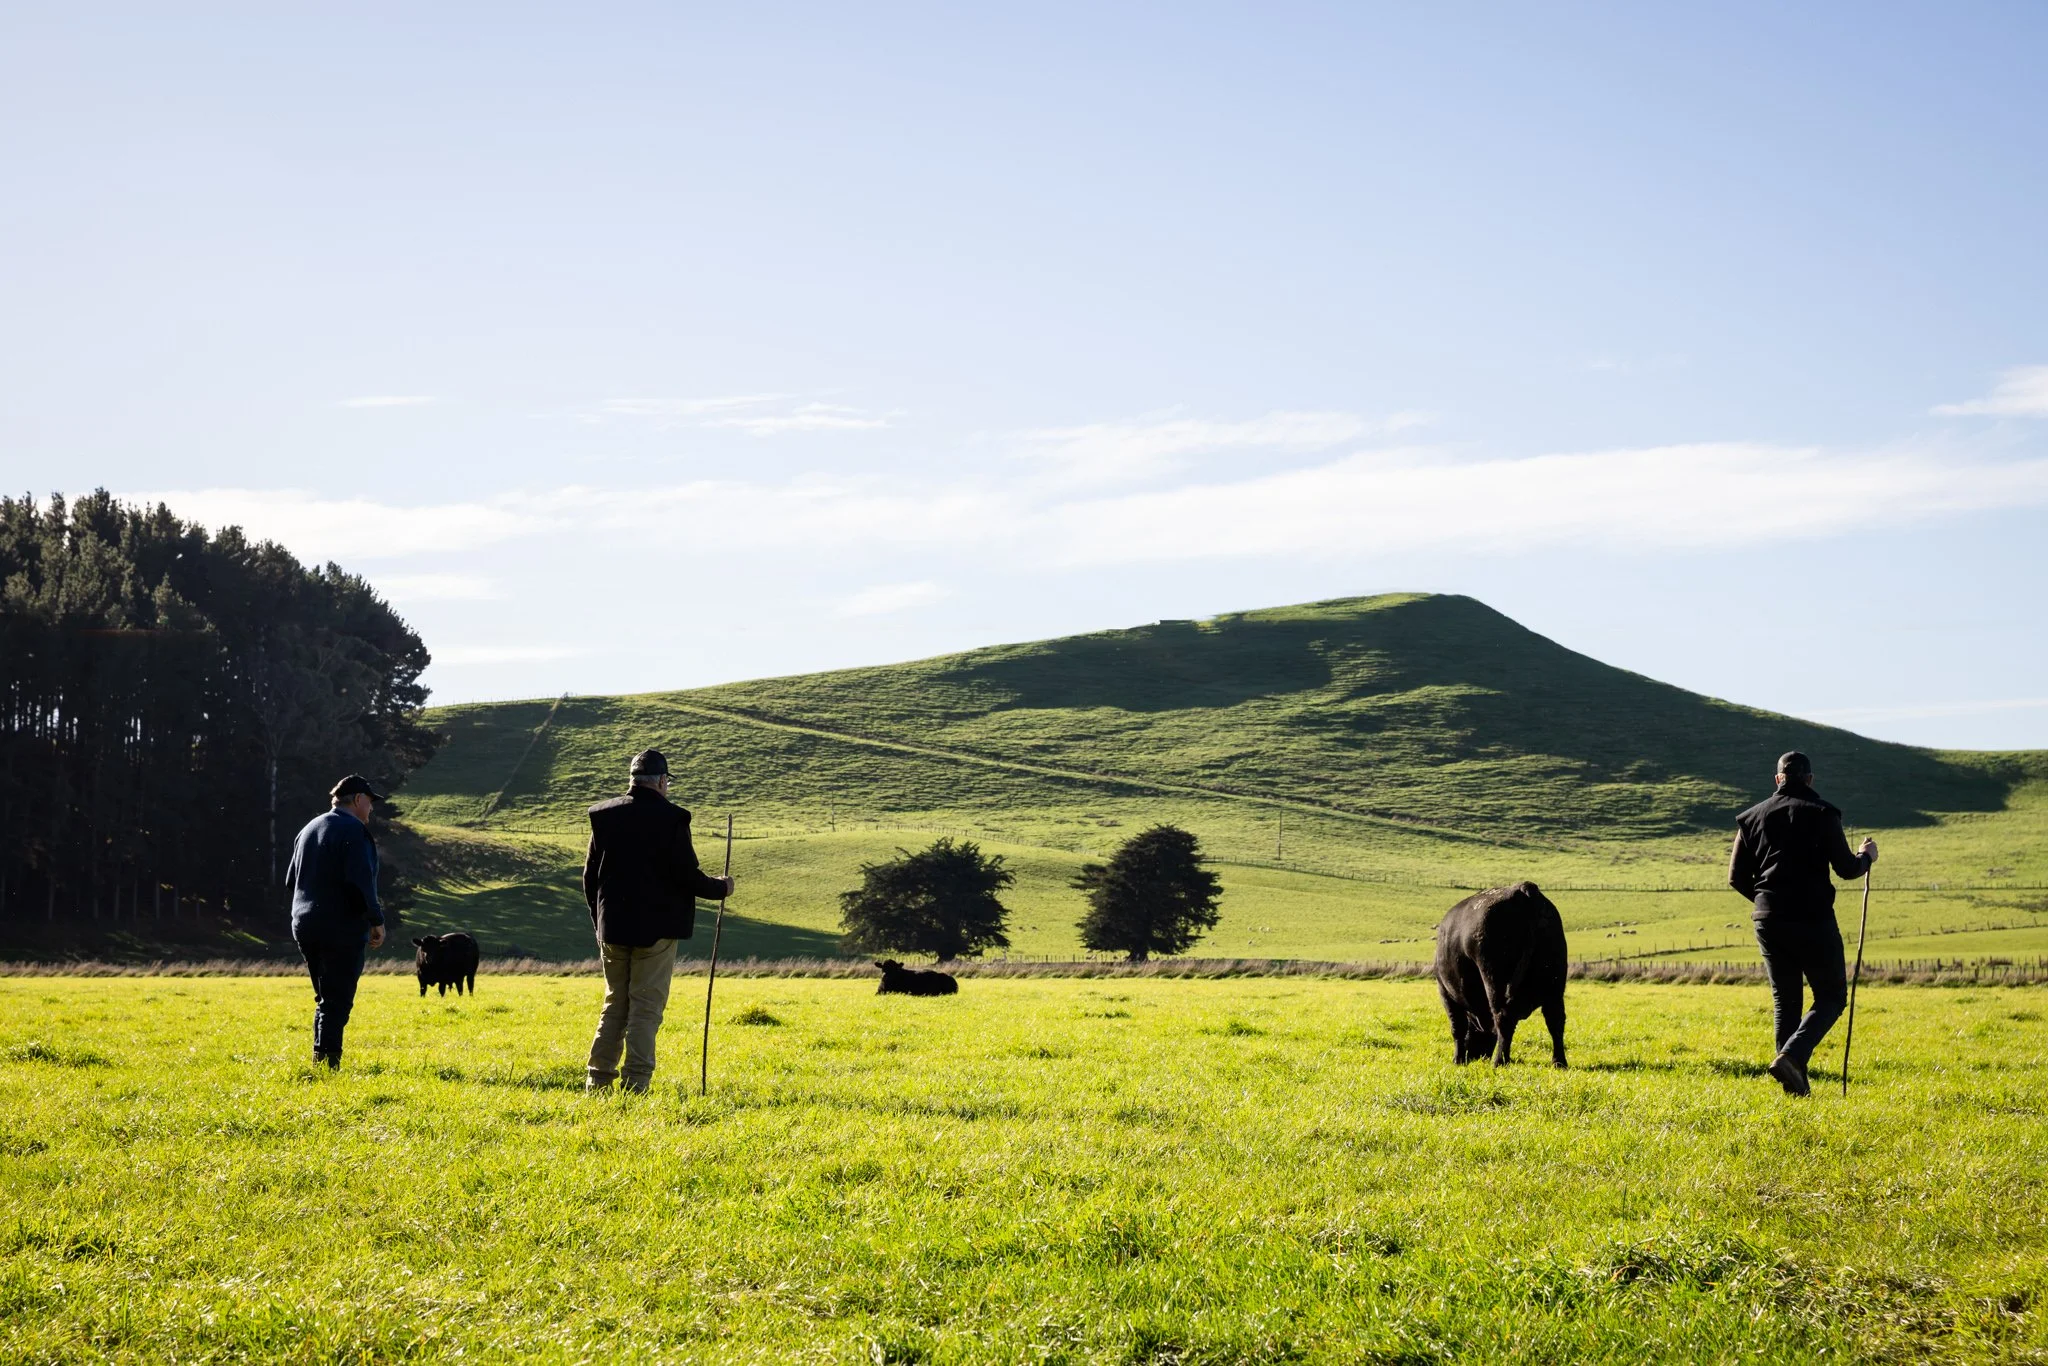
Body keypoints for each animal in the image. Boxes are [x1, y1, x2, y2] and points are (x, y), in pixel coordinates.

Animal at [1433, 882, 1567, 1067]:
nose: (1475, 1055)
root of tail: (1523, 889)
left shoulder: (1445, 993)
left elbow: (1457, 1028)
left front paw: (1457, 1059)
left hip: (1495, 982)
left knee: (1503, 1019)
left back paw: (1499, 1060)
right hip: (1554, 988)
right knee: (1555, 1021)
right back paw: (1559, 1061)